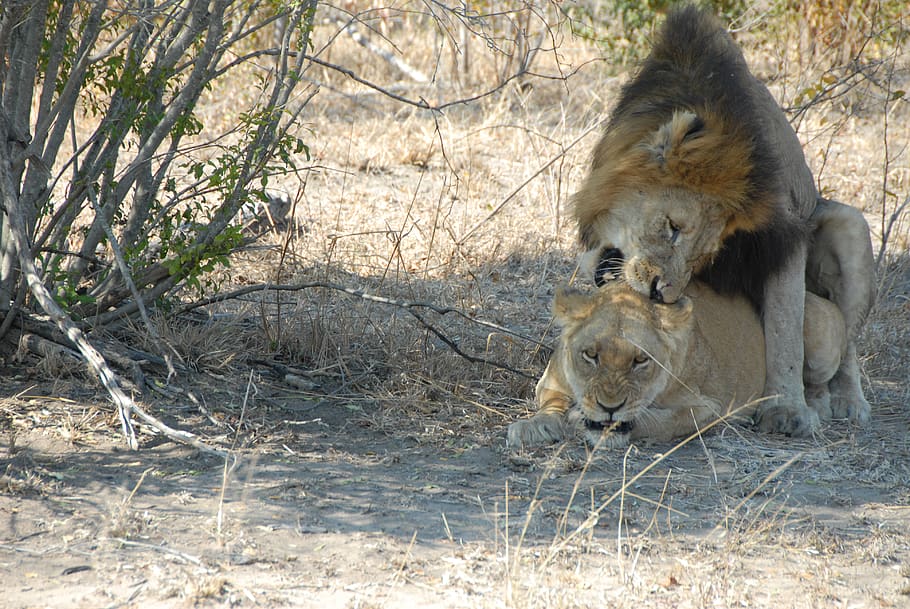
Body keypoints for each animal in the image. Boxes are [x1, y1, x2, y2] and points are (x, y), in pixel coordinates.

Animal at [507, 281, 847, 449]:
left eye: (640, 360)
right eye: (590, 355)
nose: (609, 407)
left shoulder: (709, 407)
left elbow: (660, 422)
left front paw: (594, 424)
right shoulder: (550, 382)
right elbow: (551, 403)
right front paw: (535, 427)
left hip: (811, 334)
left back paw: (817, 409)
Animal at [573, 5, 874, 436]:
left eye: (699, 254)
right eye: (672, 227)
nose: (661, 293)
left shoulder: (785, 235)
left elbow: (785, 330)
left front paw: (787, 410)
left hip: (849, 225)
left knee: (846, 343)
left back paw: (846, 402)